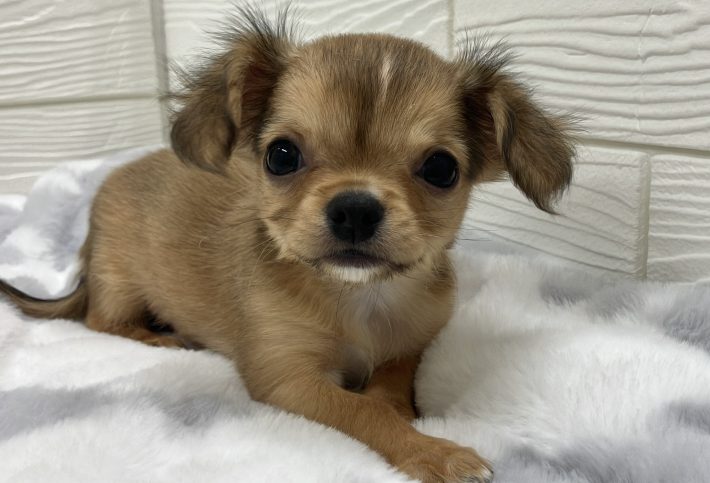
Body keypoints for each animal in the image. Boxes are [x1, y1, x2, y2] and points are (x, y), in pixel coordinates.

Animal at [0, 8, 574, 482]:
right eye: (281, 156)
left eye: (441, 169)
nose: (355, 208)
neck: (360, 298)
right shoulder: (287, 378)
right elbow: (361, 409)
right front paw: (433, 452)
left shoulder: (407, 349)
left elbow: (387, 391)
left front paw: (407, 419)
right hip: (120, 282)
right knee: (102, 320)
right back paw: (159, 337)